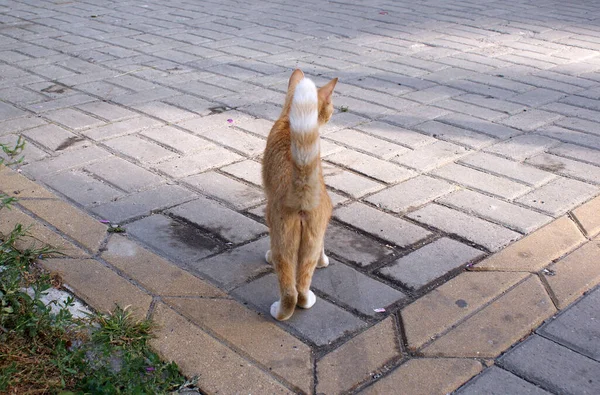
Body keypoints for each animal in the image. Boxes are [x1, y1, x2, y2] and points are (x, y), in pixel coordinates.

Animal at [262, 68, 338, 322]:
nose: (333, 111)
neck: (288, 119)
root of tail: (303, 187)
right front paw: (325, 262)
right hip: (312, 241)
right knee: (303, 286)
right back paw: (310, 298)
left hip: (282, 242)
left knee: (290, 292)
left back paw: (279, 312)